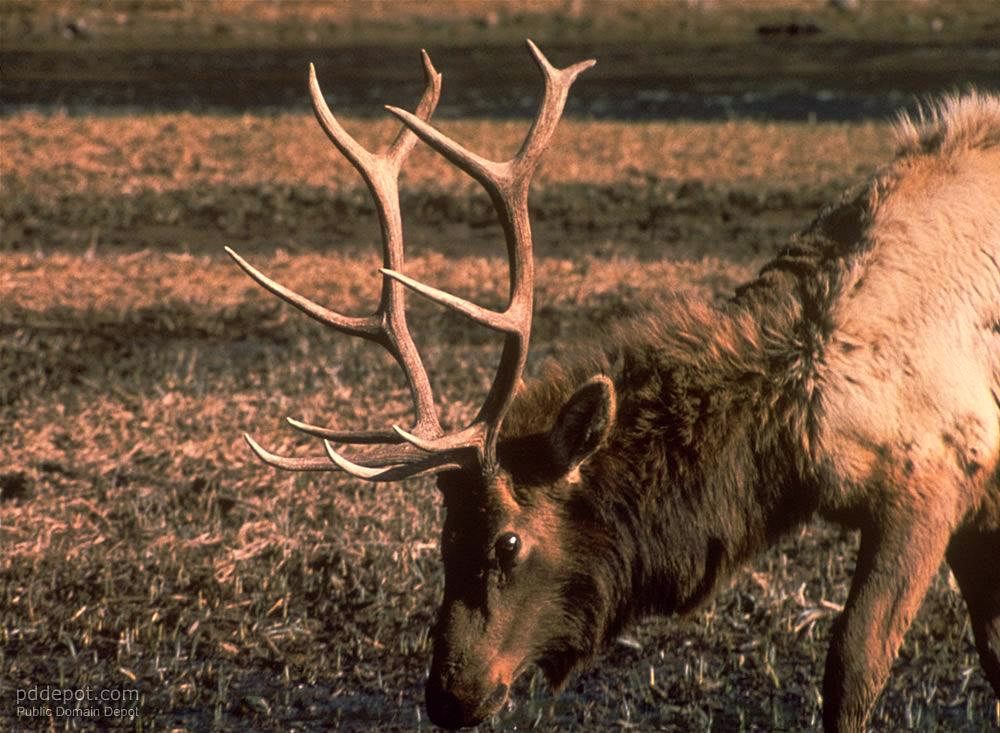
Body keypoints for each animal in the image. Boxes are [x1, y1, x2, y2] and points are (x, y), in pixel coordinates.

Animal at [226, 42, 1000, 732]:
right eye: (443, 535)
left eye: (508, 542)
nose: (449, 696)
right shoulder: (977, 499)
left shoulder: (931, 483)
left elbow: (854, 668)